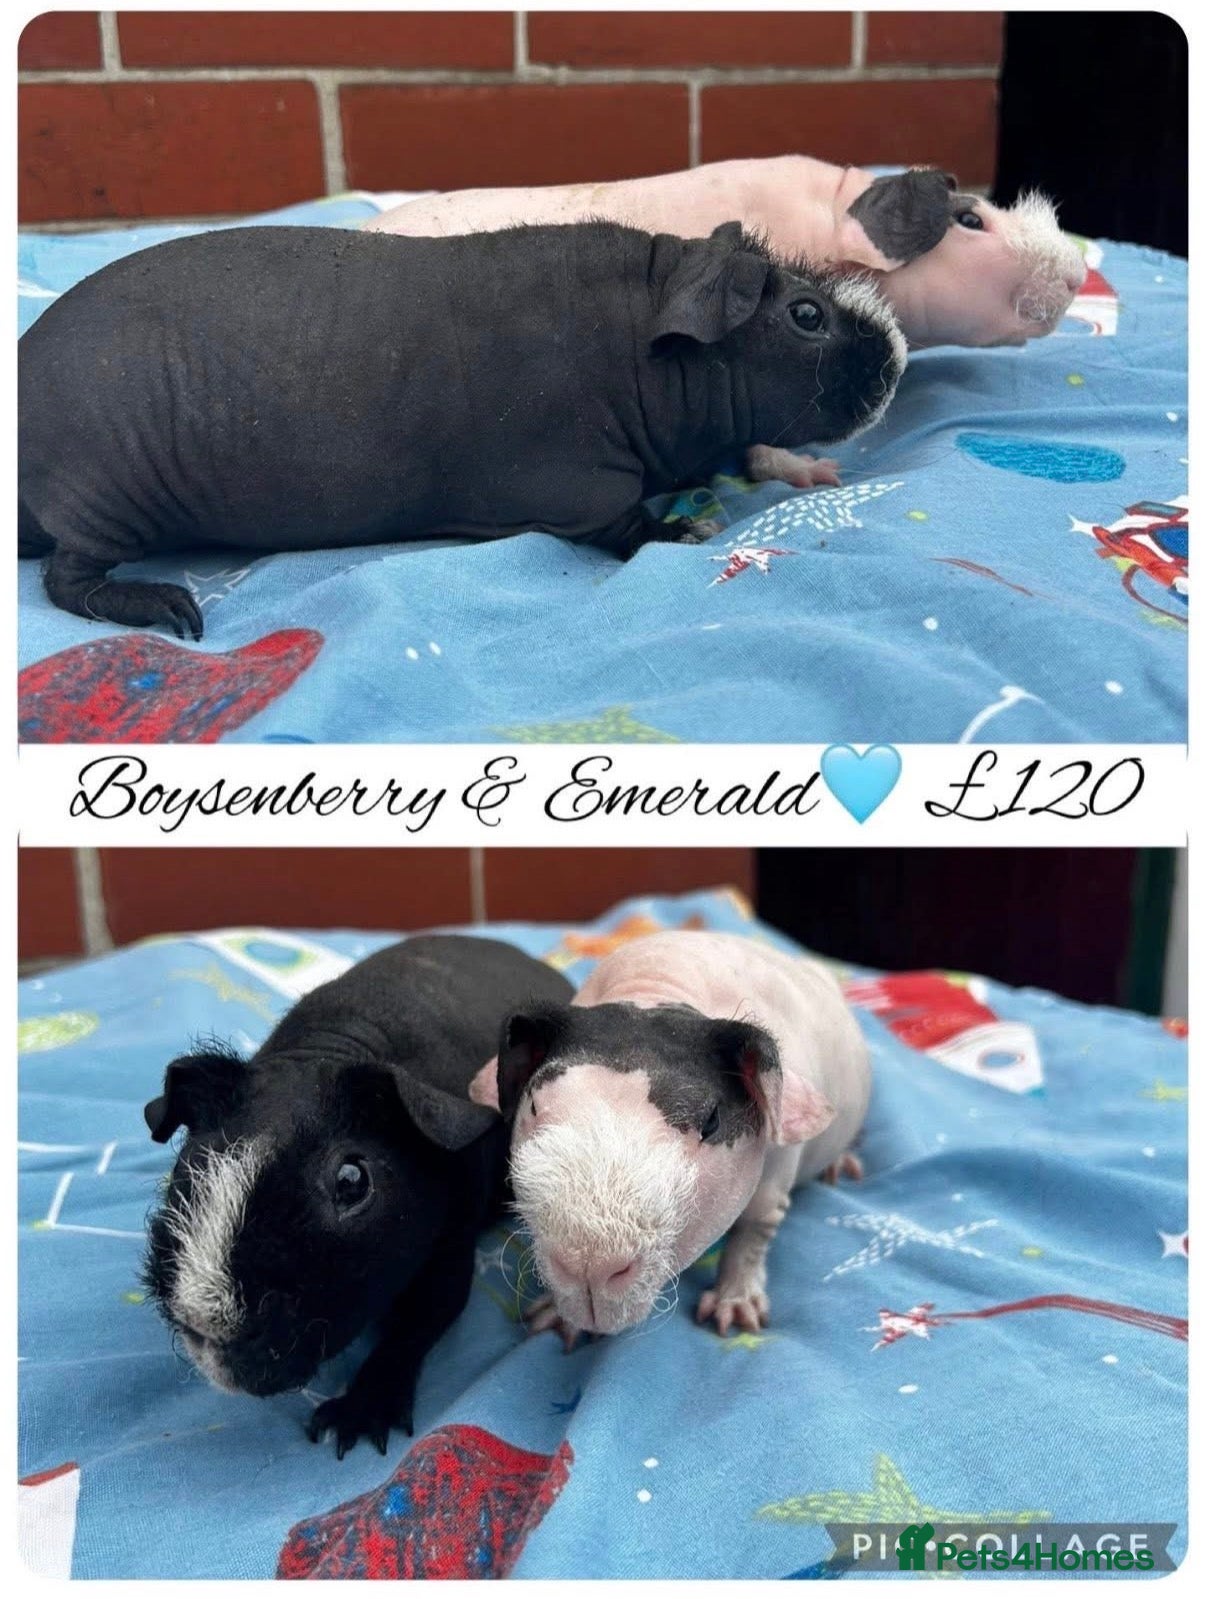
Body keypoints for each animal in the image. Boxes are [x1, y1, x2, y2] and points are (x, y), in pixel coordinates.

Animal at [19, 218, 905, 639]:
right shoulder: (579, 493)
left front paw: (816, 475)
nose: (898, 357)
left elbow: (745, 453)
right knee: (67, 580)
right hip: (106, 500)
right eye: (806, 316)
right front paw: (694, 533)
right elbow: (631, 526)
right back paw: (172, 609)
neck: (641, 349)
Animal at [469, 931, 871, 1340]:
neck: (653, 992)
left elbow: (755, 1229)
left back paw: (841, 1166)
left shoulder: (776, 1176)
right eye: (534, 1107)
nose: (589, 1268)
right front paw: (555, 1319)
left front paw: (734, 1312)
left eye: (711, 1121)